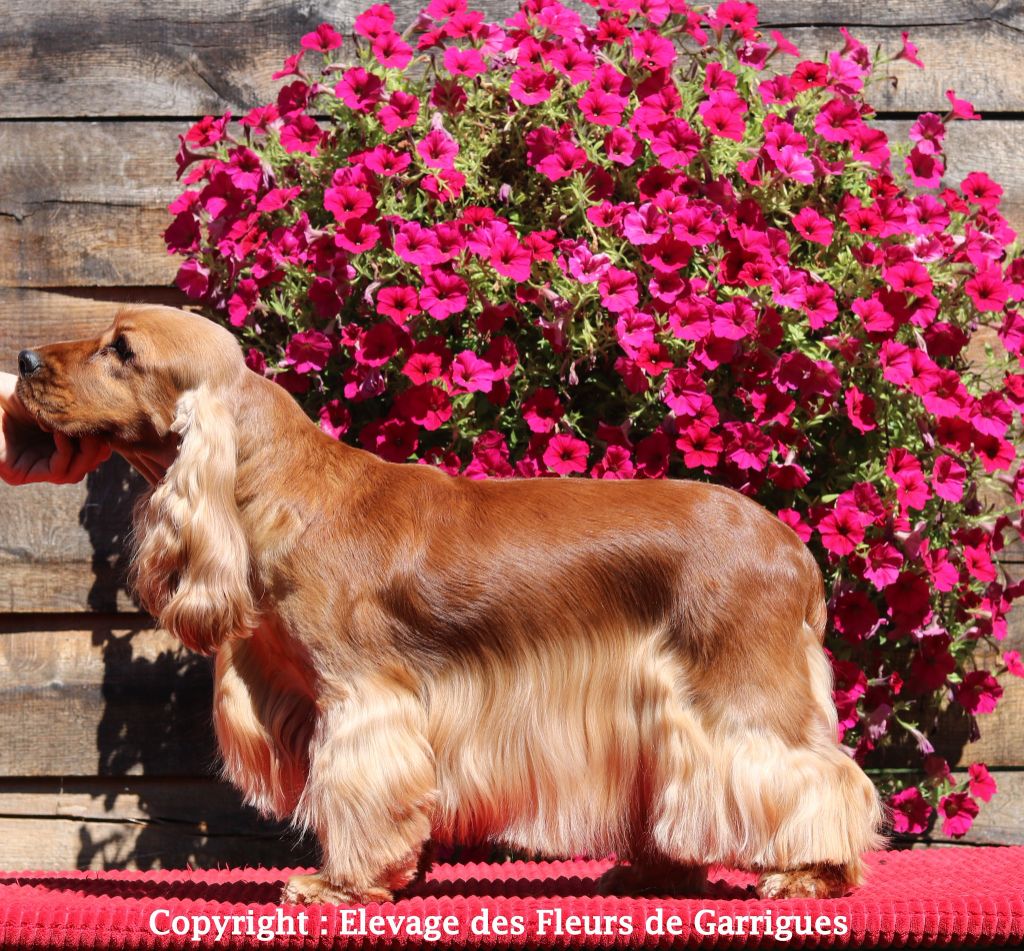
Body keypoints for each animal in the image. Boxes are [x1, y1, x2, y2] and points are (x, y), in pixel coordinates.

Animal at [14, 307, 880, 904]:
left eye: (123, 349)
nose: (21, 358)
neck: (278, 489)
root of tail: (796, 550)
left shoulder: (362, 696)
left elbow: (361, 787)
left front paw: (339, 884)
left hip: (740, 688)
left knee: (816, 775)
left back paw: (812, 873)